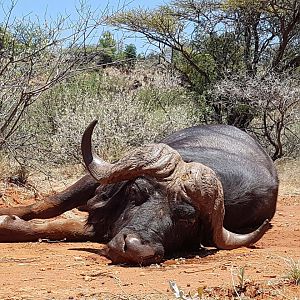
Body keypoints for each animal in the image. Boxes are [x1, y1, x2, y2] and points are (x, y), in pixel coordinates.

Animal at [0, 120, 278, 264]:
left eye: (188, 218)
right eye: (136, 191)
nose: (135, 249)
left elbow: (65, 228)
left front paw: (9, 224)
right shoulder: (96, 183)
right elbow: (49, 204)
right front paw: (8, 212)